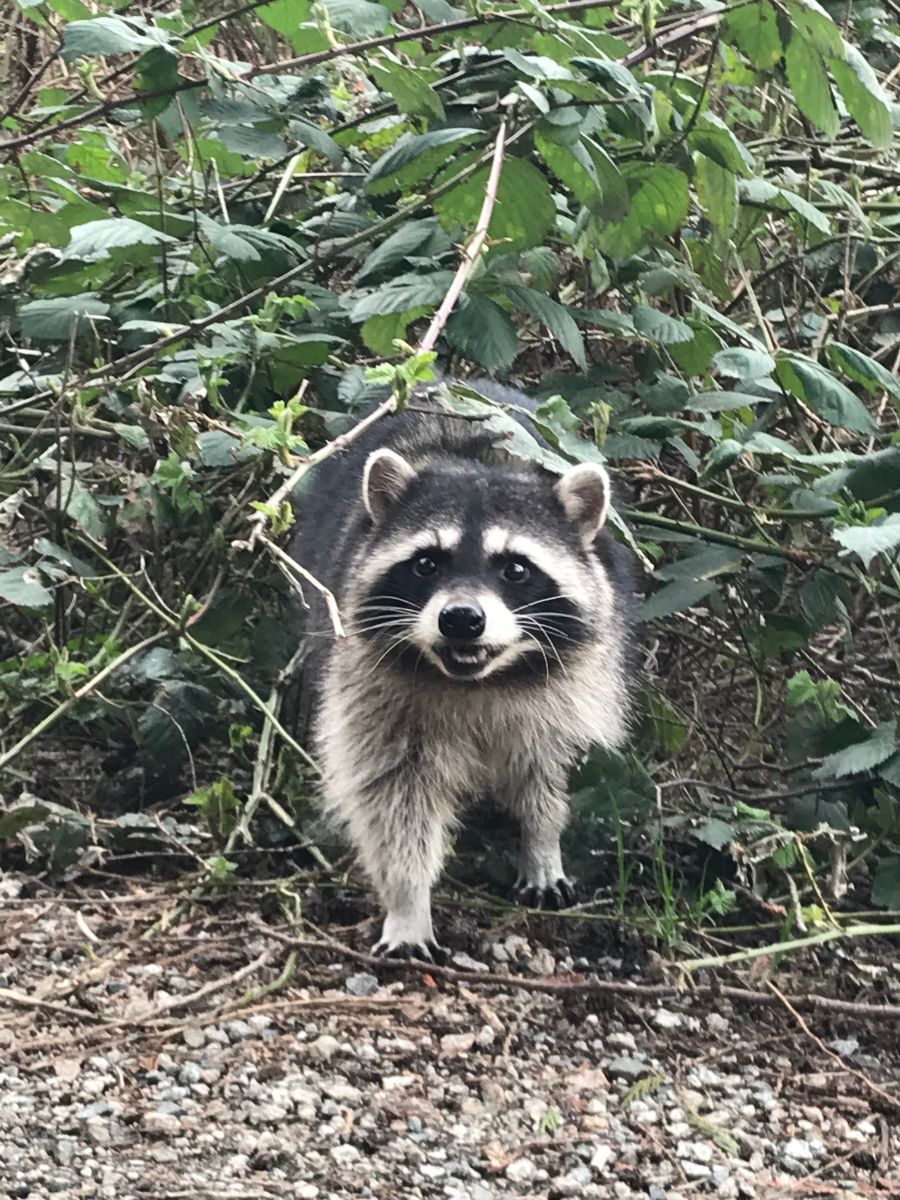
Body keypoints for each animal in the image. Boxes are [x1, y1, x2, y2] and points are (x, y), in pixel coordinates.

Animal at [289, 379, 634, 959]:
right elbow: (393, 795)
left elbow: (543, 769)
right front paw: (408, 900)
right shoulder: (371, 685)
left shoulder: (570, 683)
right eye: (427, 563)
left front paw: (542, 839)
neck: (478, 680)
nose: (462, 620)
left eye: (515, 569)